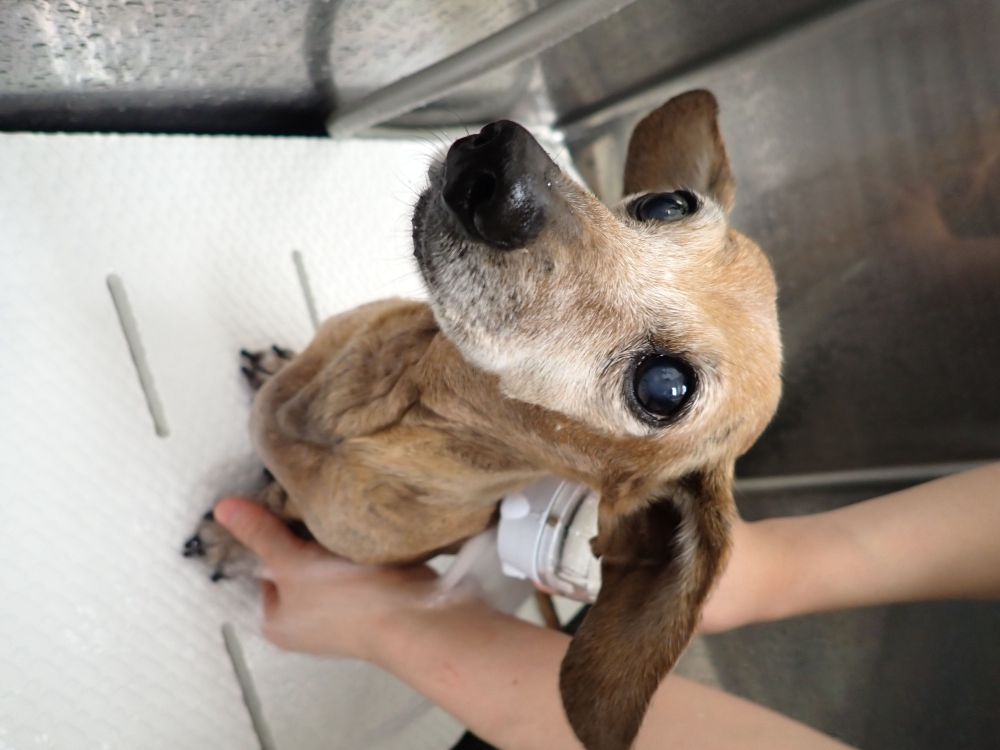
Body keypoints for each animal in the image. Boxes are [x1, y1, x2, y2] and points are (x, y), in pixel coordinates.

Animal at [186, 90, 782, 750]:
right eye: (667, 203)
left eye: (664, 387)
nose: (505, 162)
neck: (369, 409)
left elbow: (275, 525)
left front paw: (235, 543)